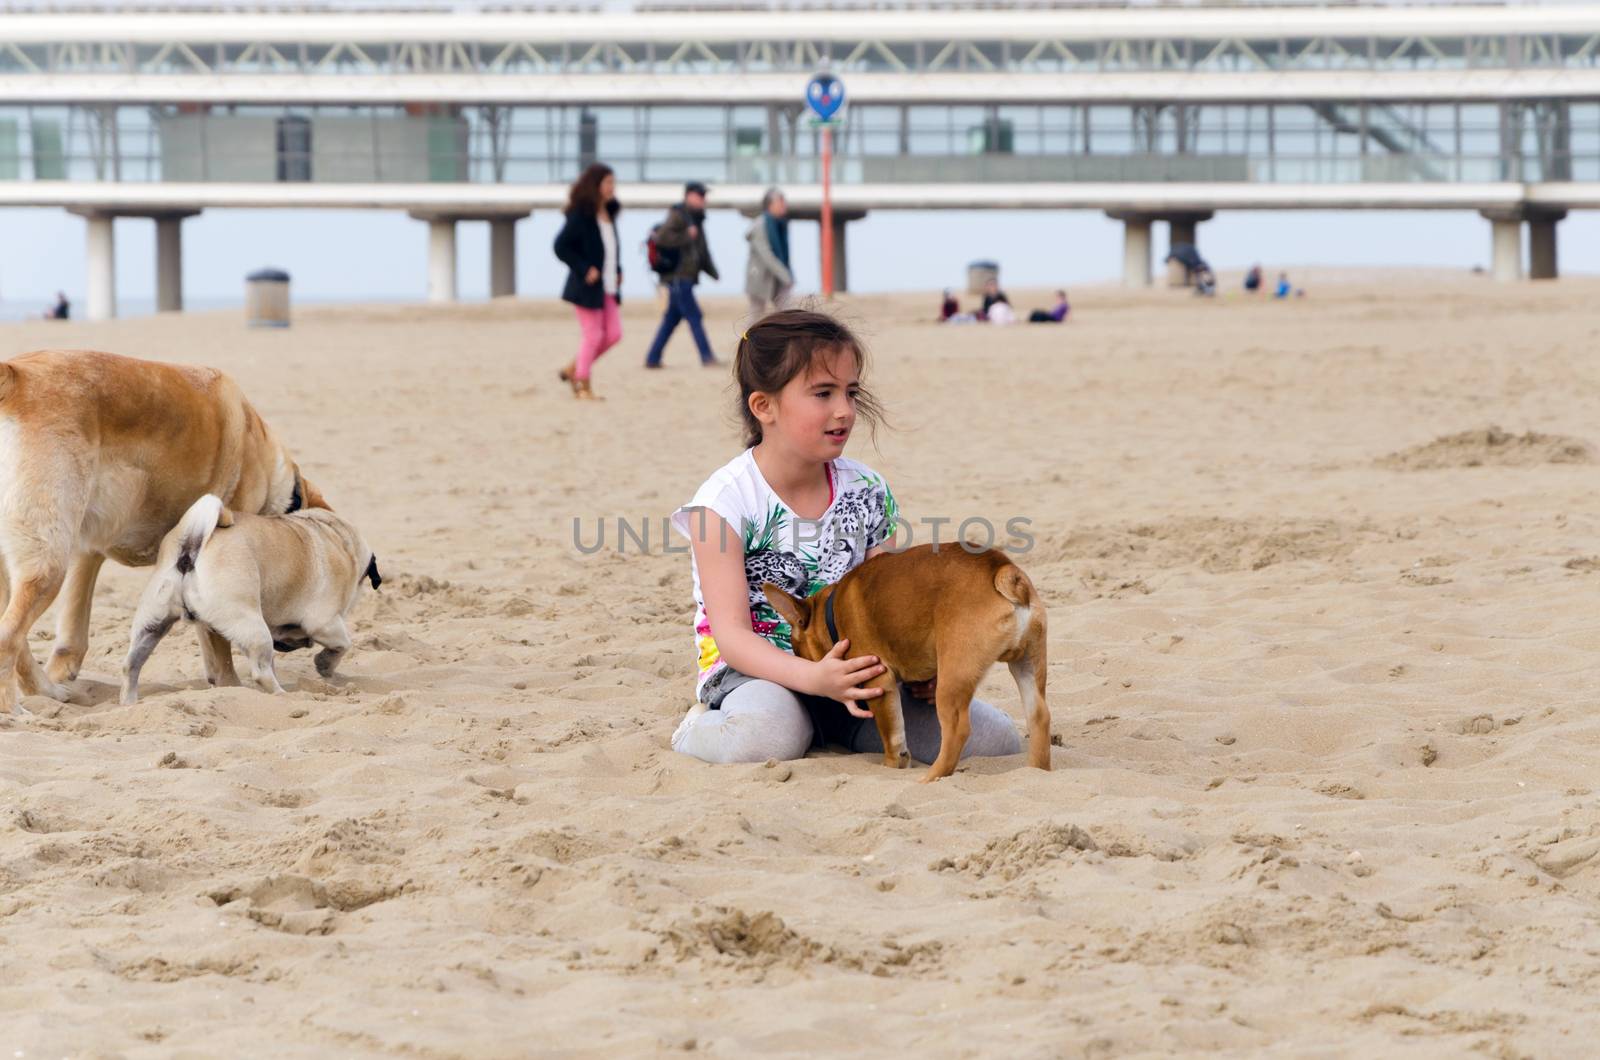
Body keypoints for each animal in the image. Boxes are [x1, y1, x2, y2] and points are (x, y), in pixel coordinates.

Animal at [0, 349, 324, 714]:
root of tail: (15, 375)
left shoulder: (88, 550)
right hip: (48, 564)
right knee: (8, 637)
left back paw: (47, 691)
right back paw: (14, 709)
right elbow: (218, 644)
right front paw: (232, 686)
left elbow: (73, 631)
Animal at [121, 496, 377, 710]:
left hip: (152, 623)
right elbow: (343, 644)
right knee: (261, 672)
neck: (336, 535)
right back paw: (282, 696)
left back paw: (129, 703)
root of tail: (191, 543)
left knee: (131, 665)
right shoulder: (324, 623)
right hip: (253, 626)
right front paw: (324, 663)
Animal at [761, 547, 1049, 781]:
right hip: (1028, 665)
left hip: (954, 678)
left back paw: (931, 778)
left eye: (796, 649)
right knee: (1040, 717)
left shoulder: (877, 680)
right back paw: (1036, 771)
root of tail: (1003, 571)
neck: (830, 613)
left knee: (957, 730)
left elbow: (891, 733)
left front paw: (892, 763)